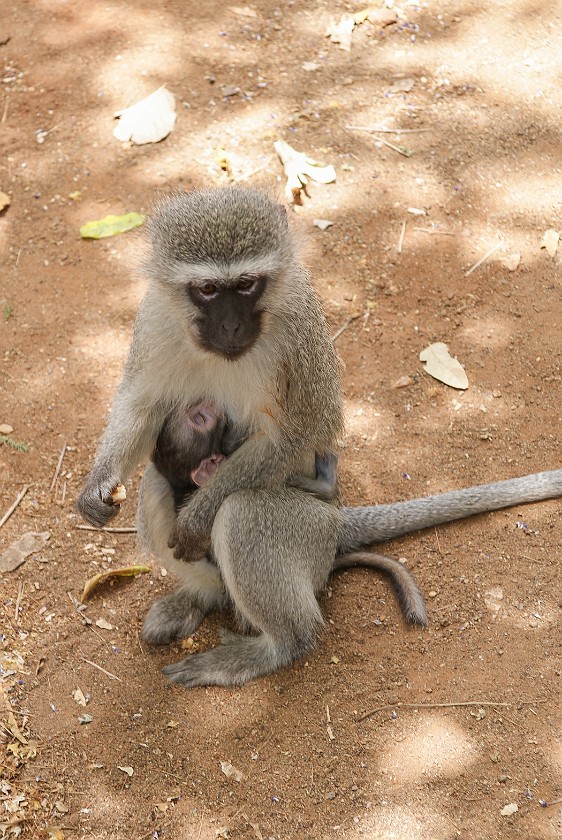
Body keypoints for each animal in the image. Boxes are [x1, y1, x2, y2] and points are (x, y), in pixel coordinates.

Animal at [77, 187, 560, 684]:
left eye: (247, 284)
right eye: (208, 289)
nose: (231, 326)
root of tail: (338, 519)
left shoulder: (298, 331)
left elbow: (293, 436)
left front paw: (195, 518)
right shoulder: (154, 317)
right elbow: (142, 403)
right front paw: (97, 486)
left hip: (310, 531)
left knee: (244, 513)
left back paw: (275, 645)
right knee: (156, 484)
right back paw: (200, 597)